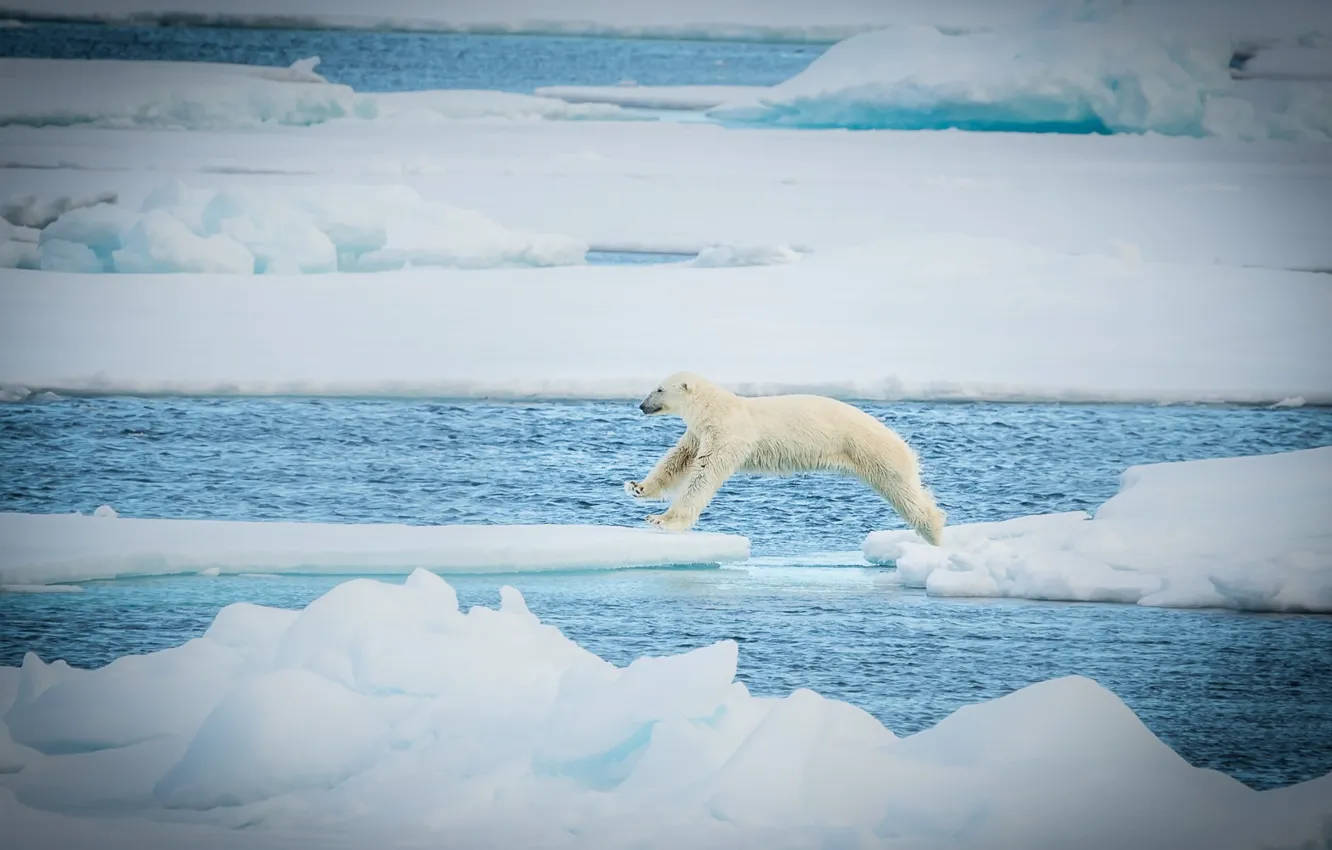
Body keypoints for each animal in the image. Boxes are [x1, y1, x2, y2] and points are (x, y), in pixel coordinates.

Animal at [624, 372, 946, 544]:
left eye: (659, 388)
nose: (641, 405)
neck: (715, 408)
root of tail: (903, 443)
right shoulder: (699, 433)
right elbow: (679, 459)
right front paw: (637, 487)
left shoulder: (728, 433)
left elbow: (702, 475)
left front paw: (662, 520)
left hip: (873, 452)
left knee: (904, 492)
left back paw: (935, 532)